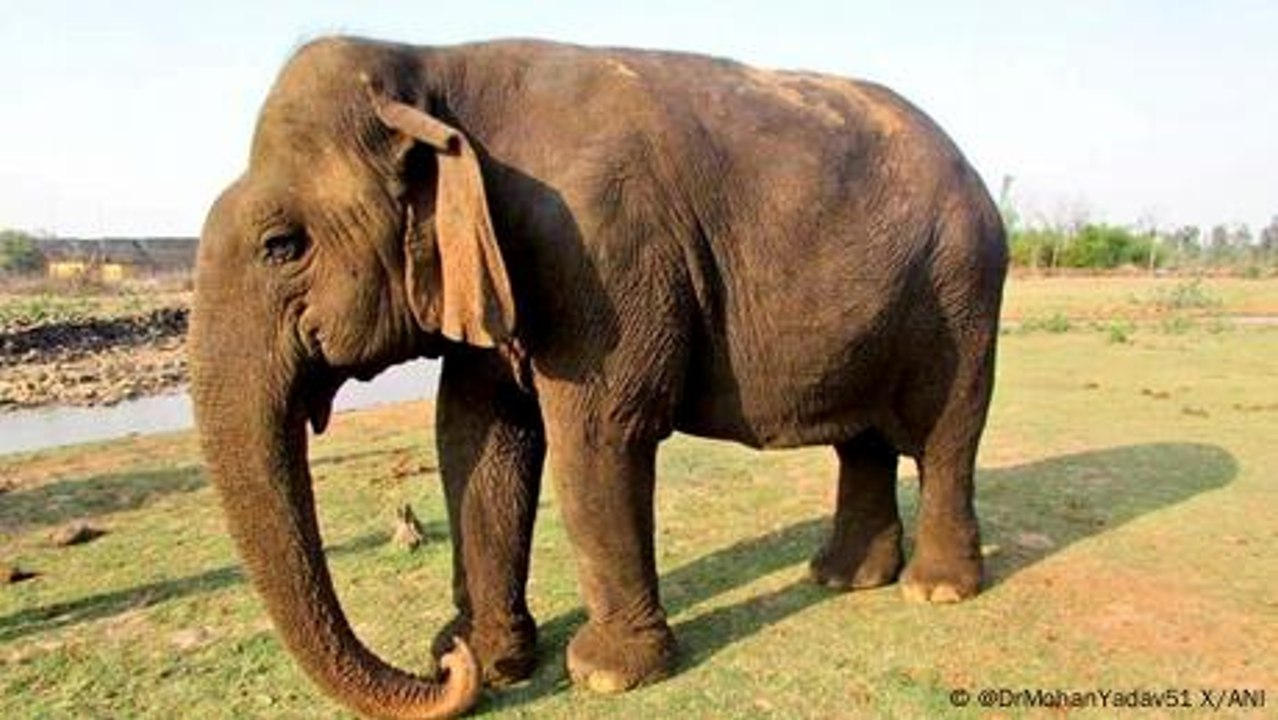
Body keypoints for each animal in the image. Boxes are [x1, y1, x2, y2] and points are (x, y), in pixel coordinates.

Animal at [190, 35, 1007, 719]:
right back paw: (841, 579)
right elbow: (476, 435)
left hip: (964, 289)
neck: (434, 66)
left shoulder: (601, 251)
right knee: (862, 440)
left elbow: (597, 434)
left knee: (948, 435)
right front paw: (493, 659)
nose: (442, 662)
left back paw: (934, 590)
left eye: (281, 245)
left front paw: (605, 675)